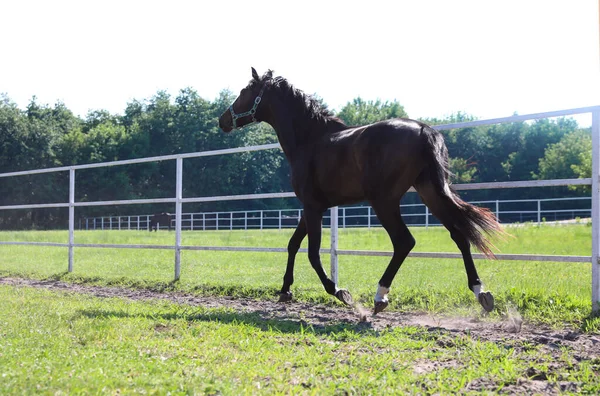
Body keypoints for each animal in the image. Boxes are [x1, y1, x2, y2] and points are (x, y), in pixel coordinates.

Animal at [218, 68, 504, 316]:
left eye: (244, 91)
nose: (223, 121)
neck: (309, 140)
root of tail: (424, 130)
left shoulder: (312, 207)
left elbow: (312, 253)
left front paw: (339, 291)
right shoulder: (313, 207)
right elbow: (293, 244)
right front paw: (285, 291)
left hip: (384, 202)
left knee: (404, 242)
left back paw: (380, 296)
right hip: (430, 193)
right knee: (459, 235)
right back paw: (481, 292)